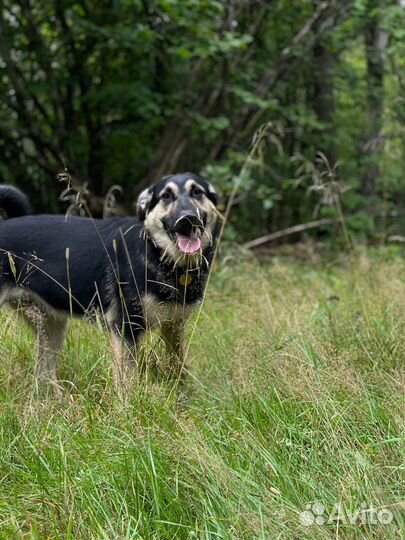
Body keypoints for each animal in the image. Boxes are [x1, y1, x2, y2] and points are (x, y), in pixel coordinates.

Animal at [0, 173, 219, 392]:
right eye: (166, 196)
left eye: (197, 192)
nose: (188, 219)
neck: (158, 253)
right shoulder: (126, 328)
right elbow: (128, 380)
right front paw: (130, 401)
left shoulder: (174, 327)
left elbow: (180, 368)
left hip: (51, 326)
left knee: (43, 374)